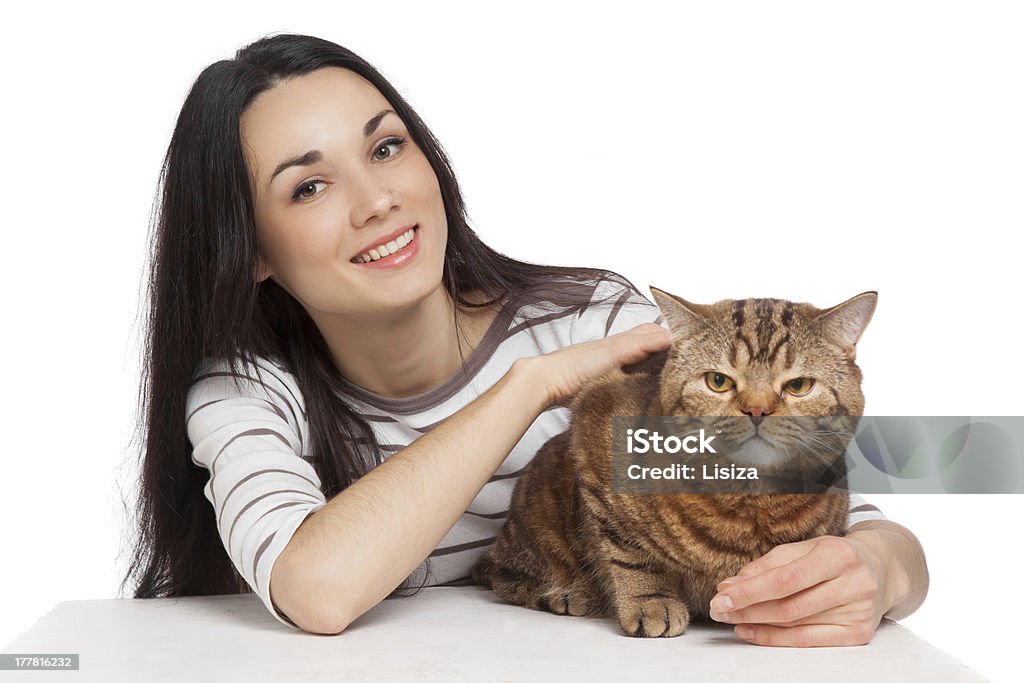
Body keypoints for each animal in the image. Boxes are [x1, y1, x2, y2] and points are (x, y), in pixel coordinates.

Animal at [473, 286, 880, 638]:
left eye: (798, 386)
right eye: (718, 381)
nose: (757, 409)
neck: (750, 502)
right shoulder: (595, 433)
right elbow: (629, 552)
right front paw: (650, 601)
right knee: (503, 574)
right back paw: (570, 593)